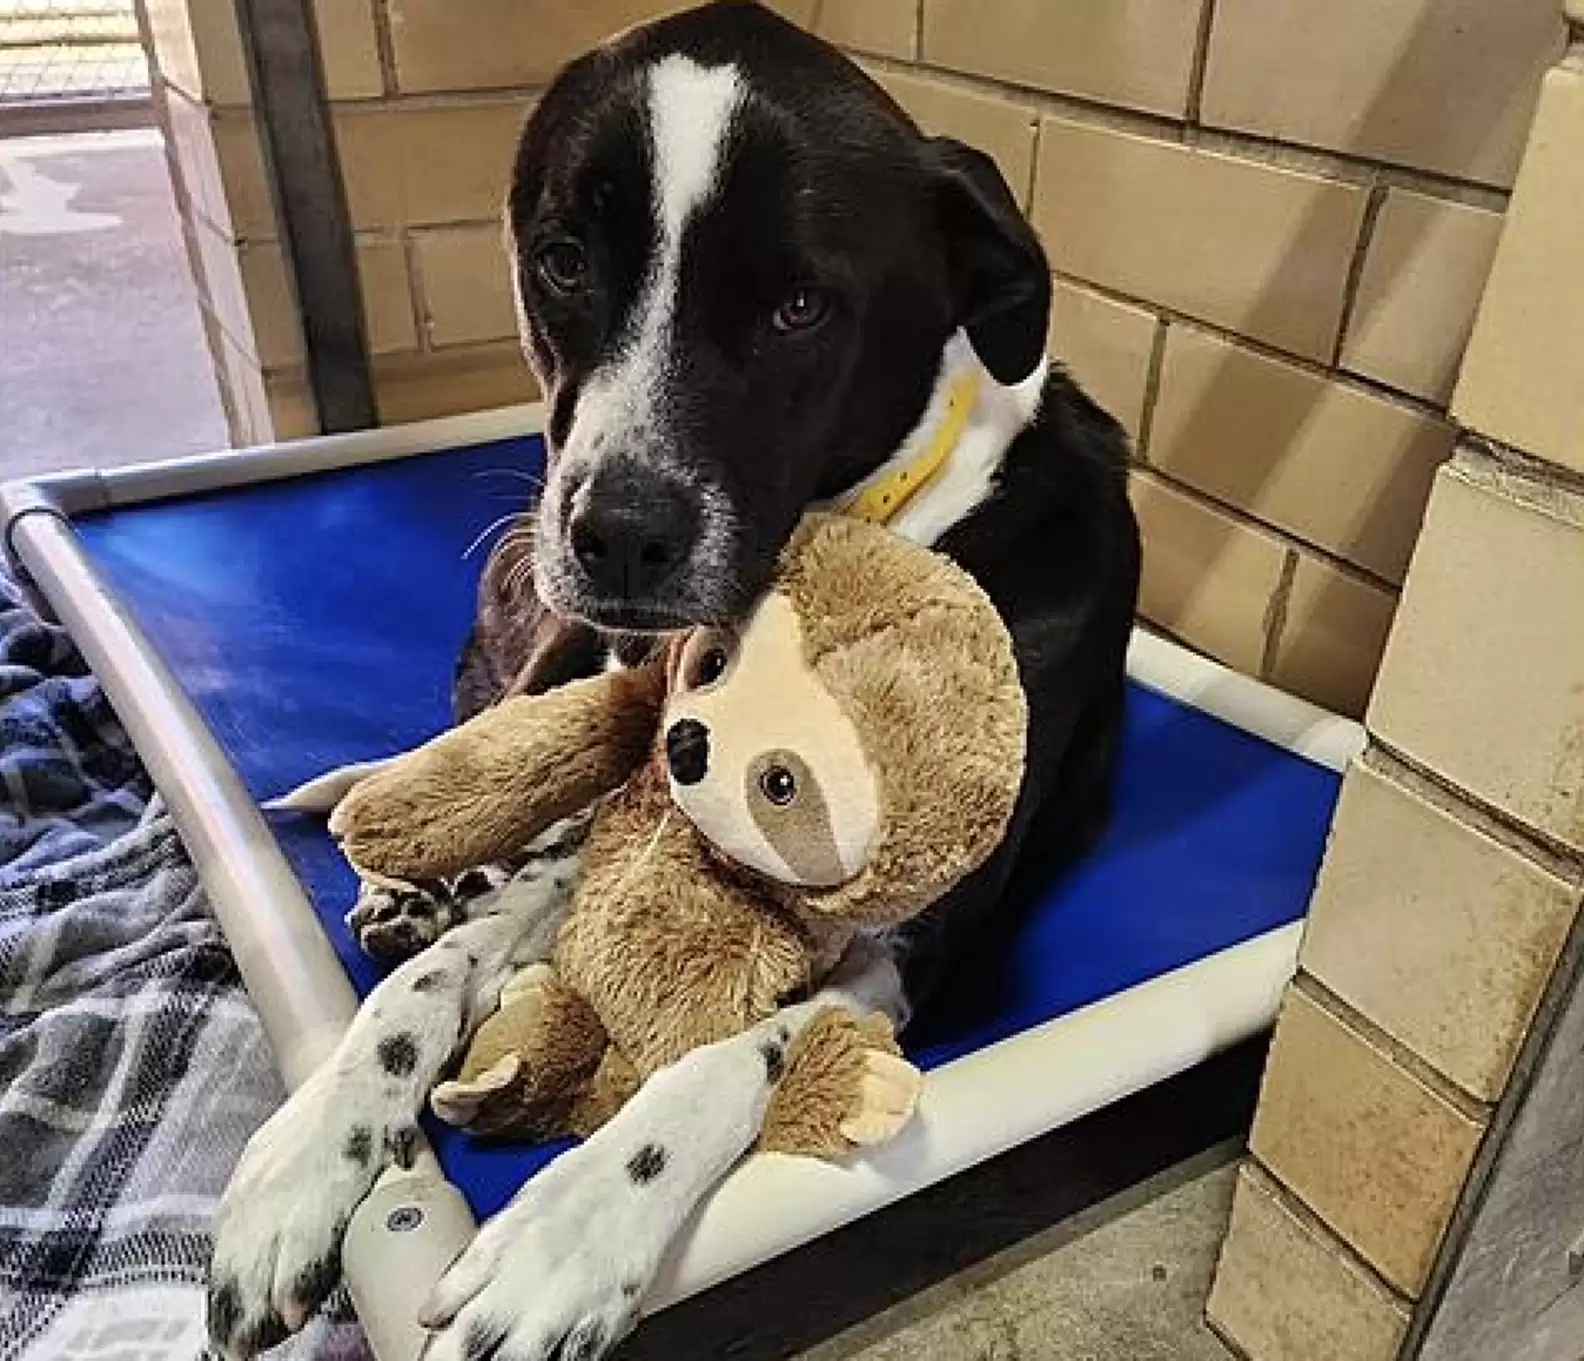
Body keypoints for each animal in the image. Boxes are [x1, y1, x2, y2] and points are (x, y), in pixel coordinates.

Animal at [207, 5, 1140, 1356]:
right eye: (562, 261)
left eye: (801, 305)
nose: (617, 535)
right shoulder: (601, 821)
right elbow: (432, 979)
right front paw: (309, 1149)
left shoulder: (921, 939)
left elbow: (743, 1048)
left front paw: (567, 1230)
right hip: (547, 655)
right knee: (450, 777)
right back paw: (402, 882)